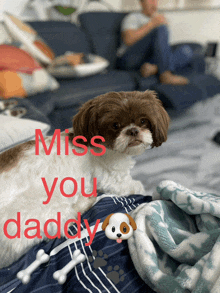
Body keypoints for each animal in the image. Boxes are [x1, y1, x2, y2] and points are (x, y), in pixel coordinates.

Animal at [0, 90, 169, 268]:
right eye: (115, 125)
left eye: (143, 121)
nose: (133, 130)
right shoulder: (111, 177)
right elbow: (134, 186)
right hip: (43, 208)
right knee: (62, 221)